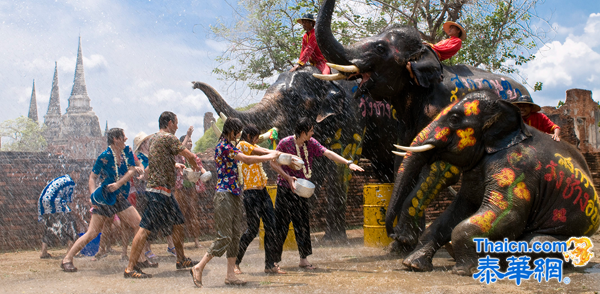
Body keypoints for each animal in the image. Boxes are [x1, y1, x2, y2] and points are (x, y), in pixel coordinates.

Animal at [192, 66, 398, 241]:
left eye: (293, 98)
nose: (194, 84)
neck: (325, 76)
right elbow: (314, 167)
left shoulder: (353, 115)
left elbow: (341, 162)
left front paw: (333, 240)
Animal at [312, 0, 532, 253]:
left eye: (380, 48)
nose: (390, 232)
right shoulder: (405, 122)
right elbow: (403, 161)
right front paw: (399, 247)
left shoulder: (444, 110)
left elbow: (438, 168)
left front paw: (403, 241)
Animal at [390, 90, 596, 274]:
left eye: (454, 118)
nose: (394, 234)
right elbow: (458, 211)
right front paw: (412, 265)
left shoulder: (515, 168)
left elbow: (507, 215)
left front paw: (463, 271)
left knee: (540, 242)